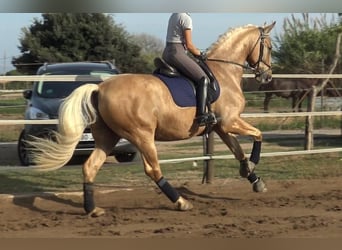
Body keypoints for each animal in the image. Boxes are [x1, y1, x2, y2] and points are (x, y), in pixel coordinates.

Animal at [28, 22, 276, 217]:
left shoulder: (221, 127)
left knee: (90, 166)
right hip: (142, 136)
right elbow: (258, 135)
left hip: (108, 138)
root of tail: (99, 88)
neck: (224, 72)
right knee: (153, 170)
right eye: (270, 47)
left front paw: (253, 178)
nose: (267, 76)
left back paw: (93, 209)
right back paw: (181, 202)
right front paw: (253, 166)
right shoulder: (229, 122)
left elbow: (238, 151)